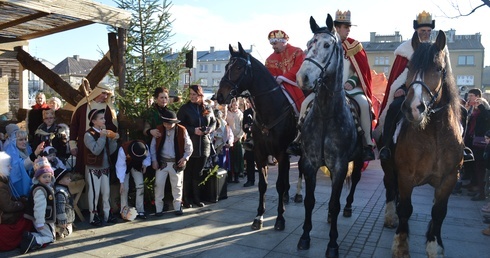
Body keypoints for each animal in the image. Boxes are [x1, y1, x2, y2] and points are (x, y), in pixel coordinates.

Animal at [216, 42, 296, 232]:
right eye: (225, 66)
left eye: (238, 67)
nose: (219, 95)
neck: (271, 110)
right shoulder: (260, 154)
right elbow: (263, 185)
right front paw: (259, 216)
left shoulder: (281, 154)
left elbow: (279, 185)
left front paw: (280, 219)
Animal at [390, 30, 464, 258]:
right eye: (409, 68)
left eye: (439, 68)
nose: (413, 108)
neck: (435, 136)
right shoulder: (404, 175)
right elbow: (406, 208)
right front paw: (401, 244)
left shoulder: (450, 178)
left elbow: (438, 212)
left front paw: (434, 244)